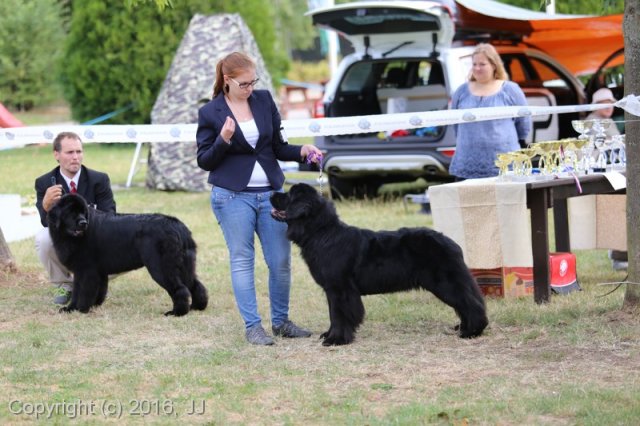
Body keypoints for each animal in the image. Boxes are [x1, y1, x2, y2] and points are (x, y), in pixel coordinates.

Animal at [47, 195, 208, 314]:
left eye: (83, 212)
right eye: (70, 212)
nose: (83, 223)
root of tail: (178, 226)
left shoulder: (86, 270)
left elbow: (82, 291)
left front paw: (79, 309)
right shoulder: (93, 271)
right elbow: (89, 290)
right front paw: (75, 308)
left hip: (161, 267)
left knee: (180, 288)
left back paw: (177, 312)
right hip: (184, 265)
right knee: (195, 284)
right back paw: (196, 307)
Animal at [272, 183, 490, 346]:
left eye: (288, 195)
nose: (272, 193)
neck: (321, 233)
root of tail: (452, 243)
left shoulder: (340, 289)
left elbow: (339, 314)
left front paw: (336, 340)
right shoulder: (331, 290)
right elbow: (333, 314)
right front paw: (329, 334)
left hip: (445, 283)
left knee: (470, 303)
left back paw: (471, 331)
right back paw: (464, 328)